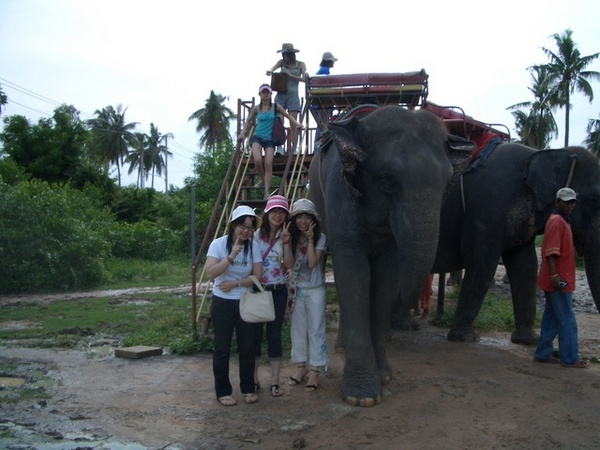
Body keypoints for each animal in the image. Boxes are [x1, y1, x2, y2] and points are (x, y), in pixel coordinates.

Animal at [310, 106, 454, 408]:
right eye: (388, 179)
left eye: (448, 182)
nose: (414, 320)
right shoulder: (340, 193)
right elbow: (354, 274)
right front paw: (362, 397)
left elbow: (385, 279)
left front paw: (385, 376)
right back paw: (341, 348)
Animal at [422, 144, 600, 344]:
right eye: (594, 201)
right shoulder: (487, 207)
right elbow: (482, 262)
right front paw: (466, 337)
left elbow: (526, 266)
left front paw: (528, 340)